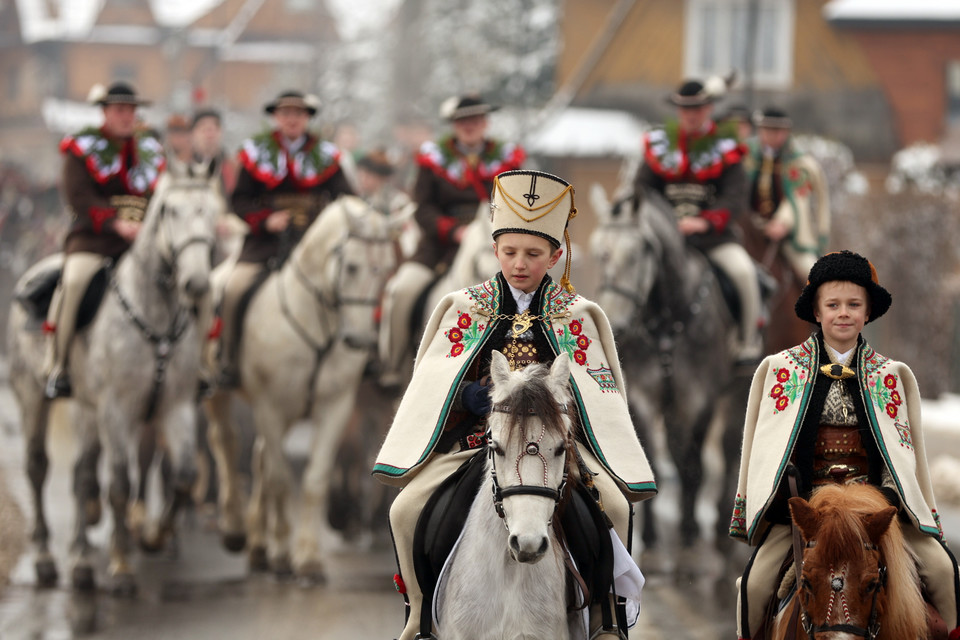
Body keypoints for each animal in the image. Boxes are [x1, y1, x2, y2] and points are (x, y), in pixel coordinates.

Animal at [6, 170, 223, 596]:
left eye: (212, 211)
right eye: (170, 210)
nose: (196, 283)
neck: (155, 313)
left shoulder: (175, 407)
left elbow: (183, 476)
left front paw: (155, 536)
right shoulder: (117, 410)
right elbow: (120, 484)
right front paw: (122, 566)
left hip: (87, 410)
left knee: (82, 474)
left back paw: (81, 558)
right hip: (33, 397)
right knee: (38, 468)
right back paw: (46, 559)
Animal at [206, 195, 404, 580]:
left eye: (386, 268)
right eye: (352, 267)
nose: (359, 340)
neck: (316, 324)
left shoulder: (335, 407)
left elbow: (313, 479)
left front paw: (308, 558)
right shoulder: (270, 406)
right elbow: (282, 479)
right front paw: (284, 553)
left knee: (260, 458)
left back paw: (258, 546)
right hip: (219, 395)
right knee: (227, 443)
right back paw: (237, 531)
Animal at [588, 181, 748, 576]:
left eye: (639, 252)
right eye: (600, 253)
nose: (615, 327)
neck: (666, 320)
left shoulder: (698, 398)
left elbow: (692, 467)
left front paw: (689, 544)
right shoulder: (643, 397)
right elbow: (652, 461)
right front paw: (652, 546)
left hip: (737, 388)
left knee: (728, 448)